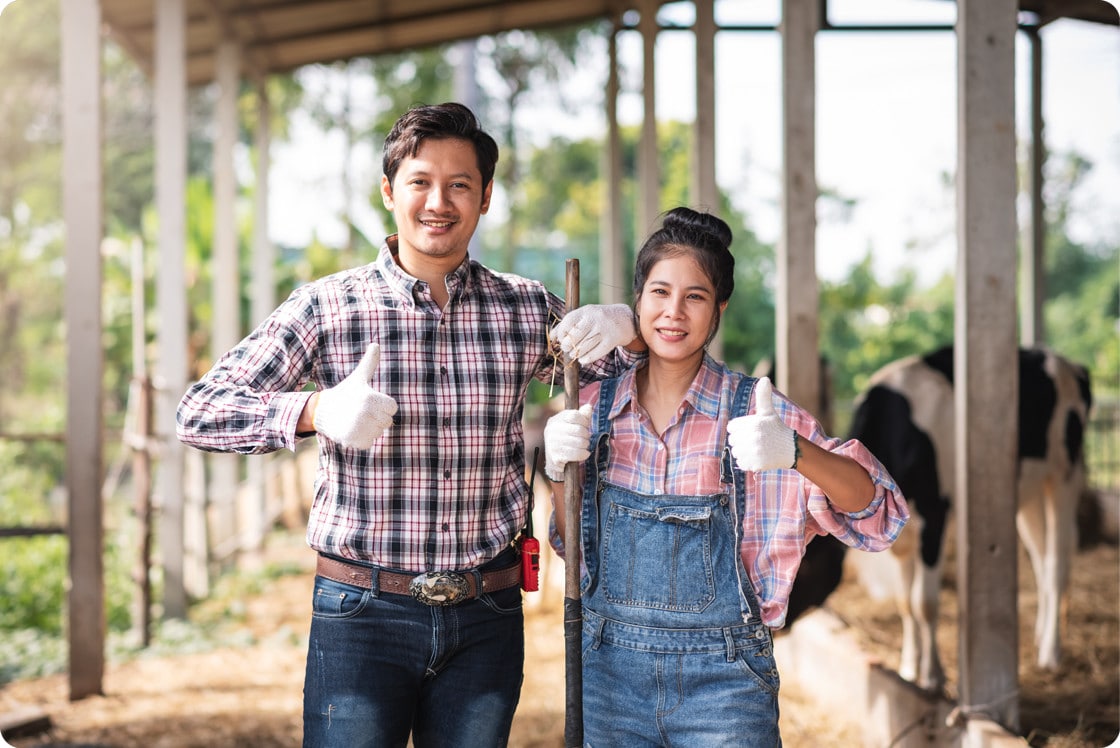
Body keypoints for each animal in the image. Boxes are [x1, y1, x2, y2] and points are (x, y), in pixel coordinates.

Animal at [788, 344, 1093, 689]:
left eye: (804, 565)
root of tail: (1068, 363)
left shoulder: (934, 514)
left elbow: (924, 603)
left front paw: (932, 675)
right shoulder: (902, 536)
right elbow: (905, 602)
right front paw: (909, 667)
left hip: (1065, 474)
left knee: (1056, 562)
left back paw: (1051, 653)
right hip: (1028, 491)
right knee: (1040, 558)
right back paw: (1041, 637)